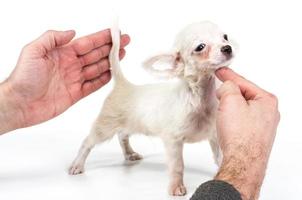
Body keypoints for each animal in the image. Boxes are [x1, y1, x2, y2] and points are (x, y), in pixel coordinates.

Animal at [68, 21, 234, 196]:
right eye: (200, 47)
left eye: (225, 37)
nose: (227, 48)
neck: (201, 97)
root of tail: (124, 85)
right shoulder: (173, 141)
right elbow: (177, 166)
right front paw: (176, 187)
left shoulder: (214, 136)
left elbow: (220, 158)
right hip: (105, 127)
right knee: (88, 142)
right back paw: (77, 165)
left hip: (130, 124)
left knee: (122, 136)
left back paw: (129, 153)